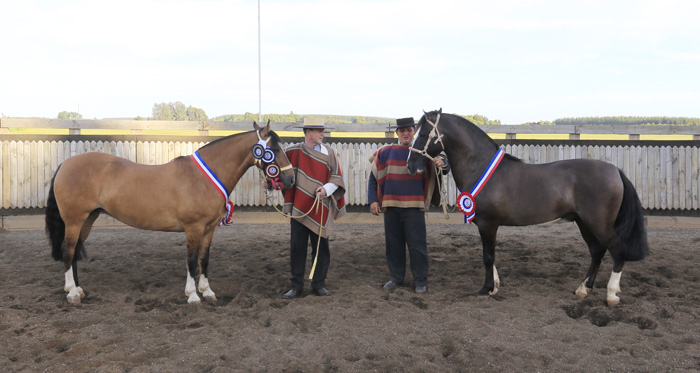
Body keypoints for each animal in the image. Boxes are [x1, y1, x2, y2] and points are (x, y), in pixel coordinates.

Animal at [43, 120, 296, 304]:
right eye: (273, 149)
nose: (290, 179)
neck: (203, 178)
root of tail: (65, 164)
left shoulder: (209, 229)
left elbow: (204, 259)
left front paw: (207, 291)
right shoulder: (193, 228)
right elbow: (191, 261)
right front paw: (192, 295)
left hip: (88, 219)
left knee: (74, 251)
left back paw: (79, 289)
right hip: (74, 220)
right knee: (68, 250)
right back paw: (72, 293)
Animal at [408, 108, 648, 306]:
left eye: (423, 134)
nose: (411, 165)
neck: (482, 167)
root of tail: (615, 170)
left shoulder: (487, 224)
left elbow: (488, 256)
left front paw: (487, 289)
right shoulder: (487, 226)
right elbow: (490, 255)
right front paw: (495, 286)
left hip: (599, 224)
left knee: (616, 252)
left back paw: (611, 295)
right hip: (584, 223)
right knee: (597, 252)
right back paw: (583, 290)